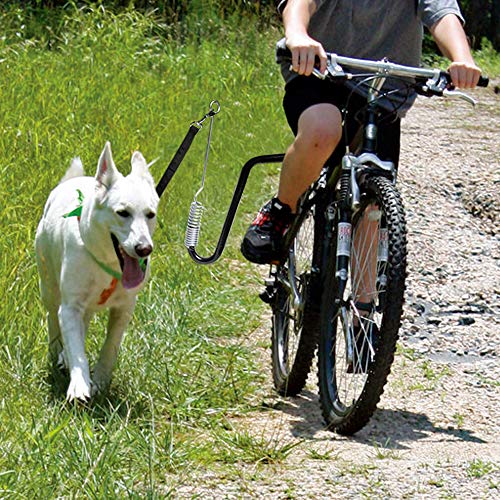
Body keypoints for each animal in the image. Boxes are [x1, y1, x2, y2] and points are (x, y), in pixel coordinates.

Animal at [35, 143, 159, 400]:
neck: (109, 264)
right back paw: (57, 354)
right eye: (123, 212)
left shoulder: (125, 308)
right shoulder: (70, 306)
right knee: (54, 319)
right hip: (49, 287)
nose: (144, 249)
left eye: (150, 214)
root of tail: (71, 180)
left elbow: (110, 346)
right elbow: (76, 348)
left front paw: (100, 381)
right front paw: (79, 386)